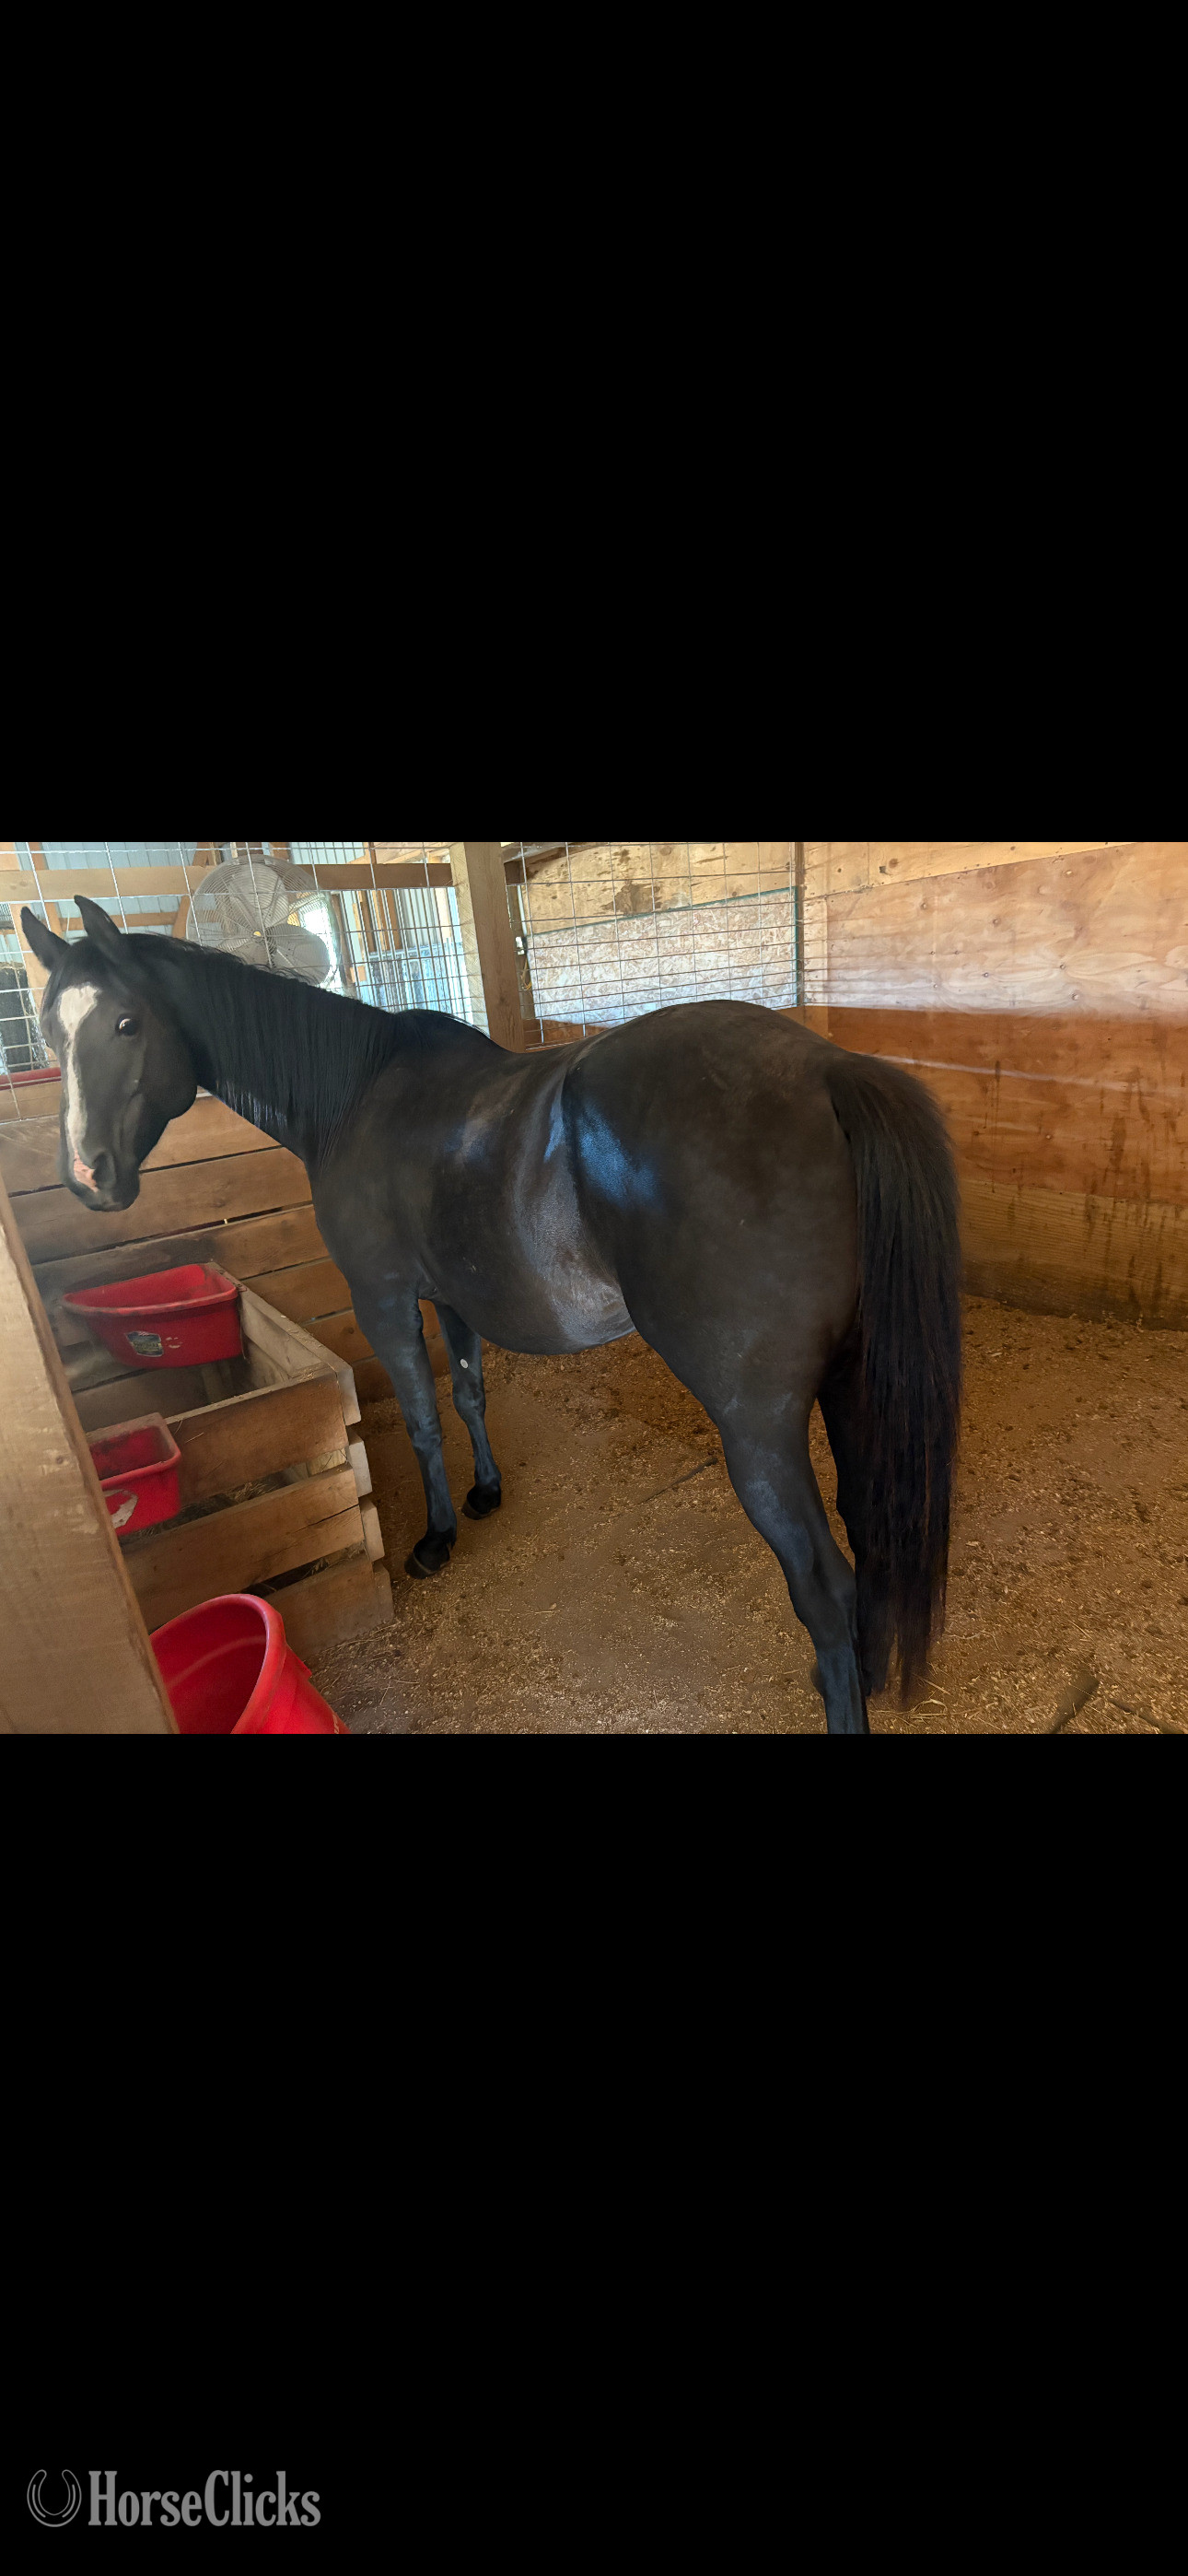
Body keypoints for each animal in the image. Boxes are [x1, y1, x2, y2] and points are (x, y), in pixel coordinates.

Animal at [23, 896, 962, 1735]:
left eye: (126, 1024)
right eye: (49, 1032)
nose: (88, 1176)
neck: (353, 1100)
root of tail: (826, 1071)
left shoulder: (385, 1300)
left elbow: (421, 1418)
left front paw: (436, 1538)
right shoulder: (452, 1298)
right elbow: (469, 1393)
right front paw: (484, 1494)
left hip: (758, 1425)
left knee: (824, 1585)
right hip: (851, 1383)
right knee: (868, 1532)